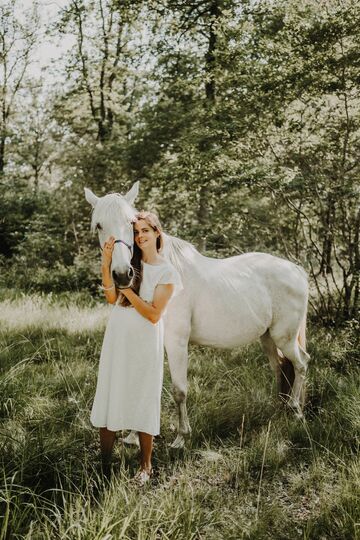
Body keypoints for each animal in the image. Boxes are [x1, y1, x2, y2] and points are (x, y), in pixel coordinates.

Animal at [84, 181, 310, 448]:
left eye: (131, 223)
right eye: (99, 225)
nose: (121, 275)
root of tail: (296, 270)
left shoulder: (177, 343)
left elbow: (180, 390)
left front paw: (181, 437)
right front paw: (133, 436)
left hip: (284, 337)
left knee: (301, 363)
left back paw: (295, 410)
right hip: (267, 338)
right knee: (280, 368)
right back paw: (280, 407)